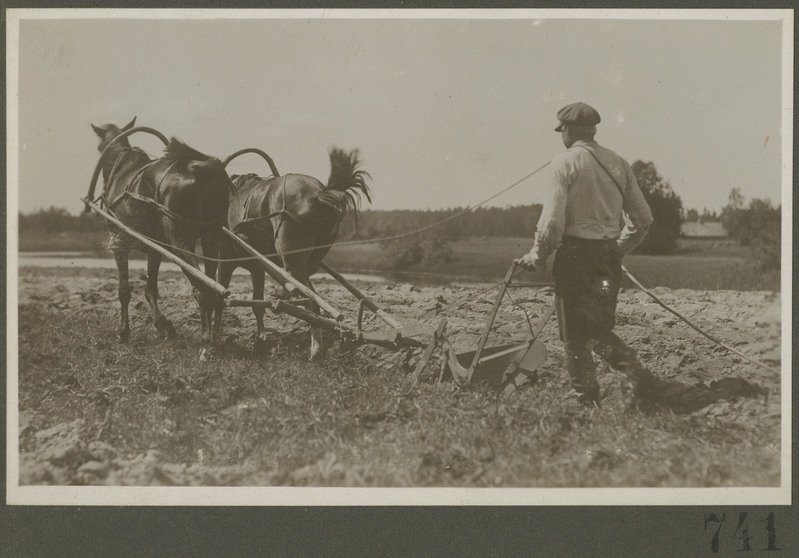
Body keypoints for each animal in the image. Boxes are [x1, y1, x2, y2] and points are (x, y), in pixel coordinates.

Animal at [92, 118, 234, 364]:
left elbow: (124, 289)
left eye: (100, 147)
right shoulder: (155, 247)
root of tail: (199, 169)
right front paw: (163, 326)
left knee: (202, 290)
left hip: (179, 241)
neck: (123, 169)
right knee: (214, 289)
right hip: (211, 237)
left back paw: (206, 344)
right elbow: (150, 288)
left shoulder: (120, 240)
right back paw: (214, 339)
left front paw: (123, 333)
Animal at [217, 148, 370, 364]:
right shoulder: (257, 267)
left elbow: (219, 297)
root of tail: (320, 194)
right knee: (310, 297)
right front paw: (260, 339)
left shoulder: (225, 259)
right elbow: (257, 304)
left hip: (290, 257)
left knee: (308, 296)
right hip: (307, 261)